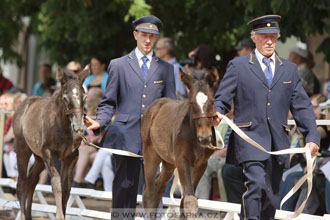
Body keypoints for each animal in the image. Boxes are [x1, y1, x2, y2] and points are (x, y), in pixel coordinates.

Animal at [12, 66, 89, 220]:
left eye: (84, 97)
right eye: (65, 98)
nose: (78, 126)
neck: (63, 127)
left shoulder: (71, 157)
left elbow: (66, 187)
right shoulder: (50, 153)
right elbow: (56, 184)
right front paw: (59, 216)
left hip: (39, 158)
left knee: (32, 181)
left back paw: (29, 215)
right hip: (23, 149)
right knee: (22, 182)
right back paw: (23, 215)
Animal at [141, 69, 217, 218]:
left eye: (212, 101)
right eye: (192, 103)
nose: (205, 138)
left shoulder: (201, 165)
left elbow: (184, 201)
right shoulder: (183, 161)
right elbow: (190, 201)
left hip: (169, 163)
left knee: (159, 188)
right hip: (150, 156)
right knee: (149, 193)